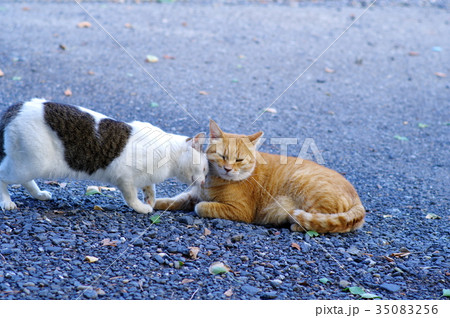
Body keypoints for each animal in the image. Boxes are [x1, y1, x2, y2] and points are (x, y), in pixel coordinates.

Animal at [0, 98, 207, 214]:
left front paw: (150, 200)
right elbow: (131, 197)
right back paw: (7, 202)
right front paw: (142, 208)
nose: (205, 181)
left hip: (29, 165)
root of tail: (16, 108)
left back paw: (39, 194)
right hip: (32, 163)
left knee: (25, 180)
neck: (169, 155)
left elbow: (151, 188)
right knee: (3, 175)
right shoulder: (125, 178)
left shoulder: (145, 177)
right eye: (205, 169)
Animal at [156, 119, 366, 234]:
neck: (213, 180)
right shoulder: (193, 194)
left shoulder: (239, 210)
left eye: (239, 160)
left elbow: (202, 207)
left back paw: (295, 224)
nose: (228, 169)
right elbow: (176, 199)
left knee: (323, 221)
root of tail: (357, 197)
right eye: (222, 156)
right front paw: (158, 203)